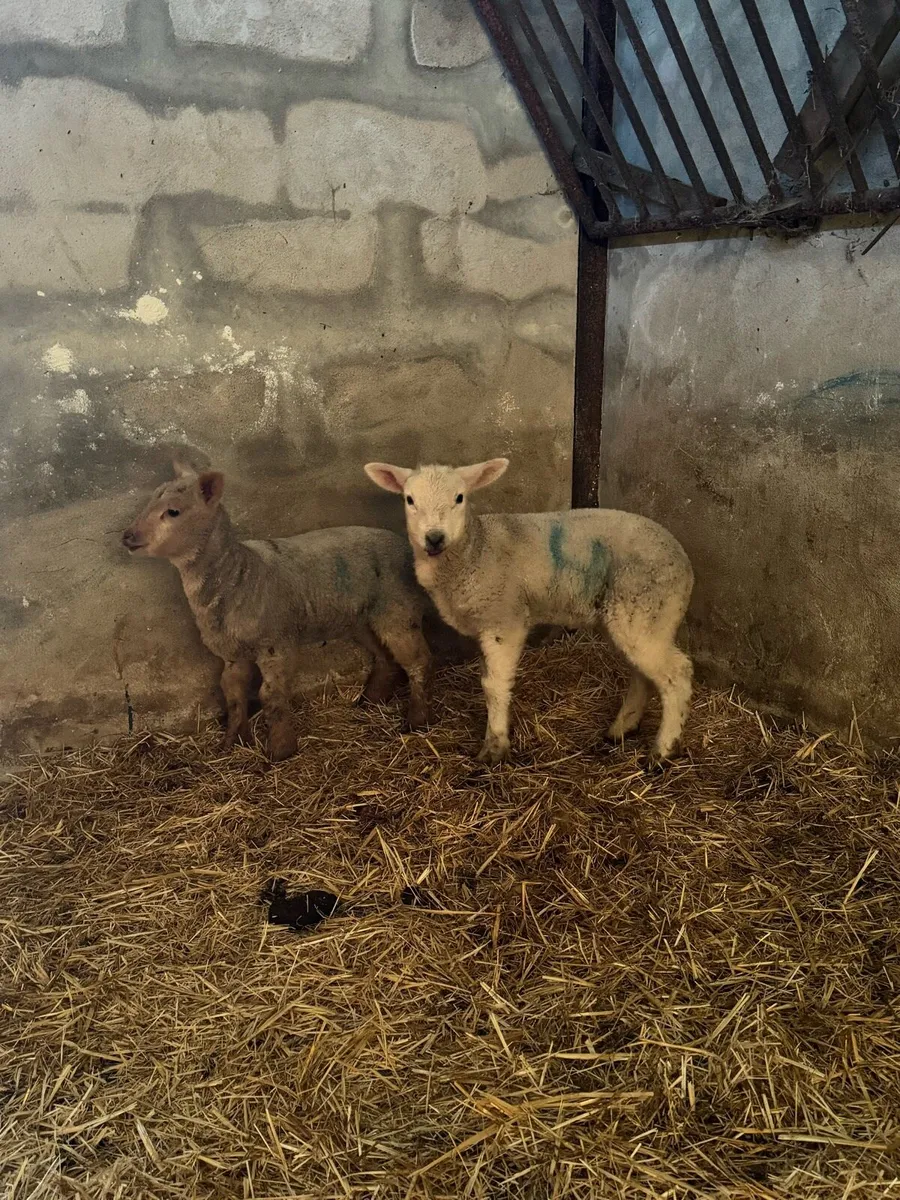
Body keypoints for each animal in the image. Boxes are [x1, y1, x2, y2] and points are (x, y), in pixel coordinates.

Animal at [122, 460, 432, 761]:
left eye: (173, 511)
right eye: (150, 501)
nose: (127, 536)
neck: (237, 575)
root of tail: (405, 546)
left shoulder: (276, 643)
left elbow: (271, 695)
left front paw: (280, 750)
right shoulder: (232, 653)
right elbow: (233, 694)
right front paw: (231, 743)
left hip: (398, 609)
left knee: (417, 660)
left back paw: (417, 719)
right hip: (363, 618)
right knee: (385, 657)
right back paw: (371, 700)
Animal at [364, 457, 693, 765]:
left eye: (459, 497)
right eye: (409, 499)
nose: (434, 537)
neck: (475, 550)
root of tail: (683, 559)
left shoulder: (504, 621)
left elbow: (494, 686)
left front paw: (495, 747)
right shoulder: (485, 624)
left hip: (646, 609)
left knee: (677, 673)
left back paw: (663, 750)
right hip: (624, 617)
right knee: (642, 674)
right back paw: (622, 728)